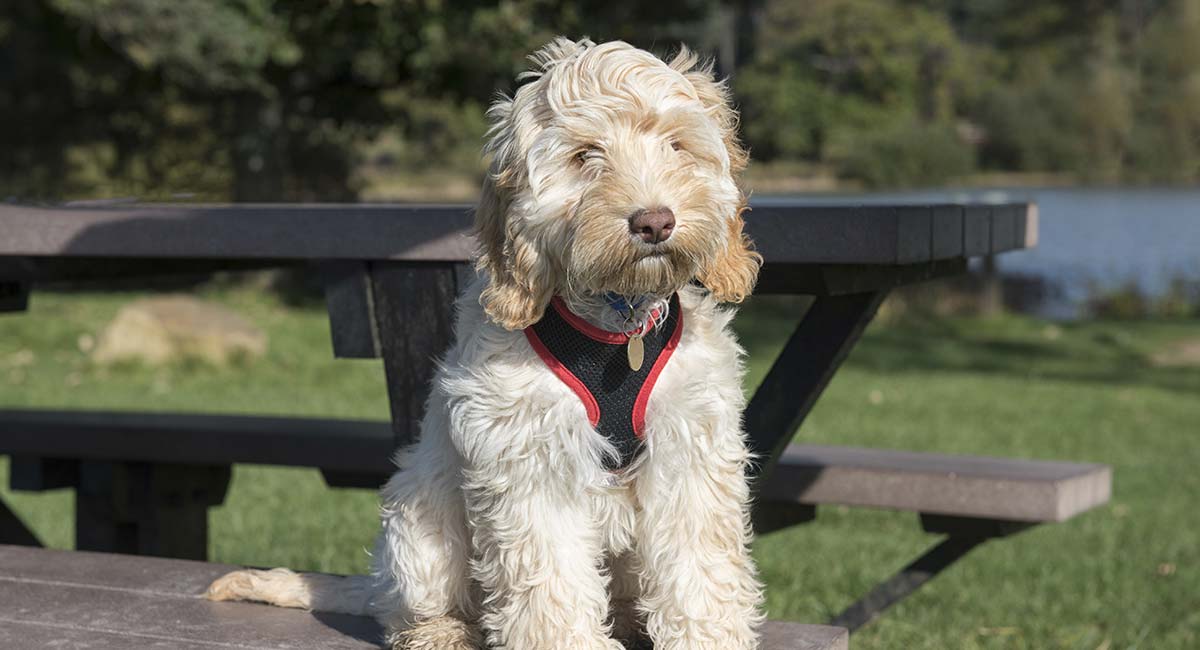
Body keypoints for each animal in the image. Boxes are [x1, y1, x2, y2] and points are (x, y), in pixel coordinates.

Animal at [206, 38, 763, 647]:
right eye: (585, 155)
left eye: (676, 144)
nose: (655, 222)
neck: (618, 323)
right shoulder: (530, 458)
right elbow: (549, 578)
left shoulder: (691, 447)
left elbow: (700, 566)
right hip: (422, 529)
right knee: (406, 610)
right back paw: (442, 632)